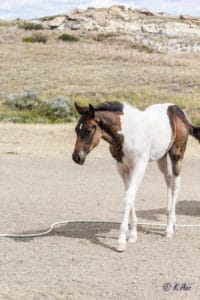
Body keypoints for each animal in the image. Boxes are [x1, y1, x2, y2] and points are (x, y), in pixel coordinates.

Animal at [72, 102, 200, 252]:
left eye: (88, 130)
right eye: (76, 129)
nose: (76, 157)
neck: (126, 134)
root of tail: (177, 109)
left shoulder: (140, 166)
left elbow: (129, 197)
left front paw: (121, 241)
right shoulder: (122, 168)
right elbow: (130, 196)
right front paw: (133, 235)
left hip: (177, 154)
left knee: (176, 185)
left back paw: (169, 229)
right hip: (161, 156)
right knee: (168, 179)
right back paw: (171, 218)